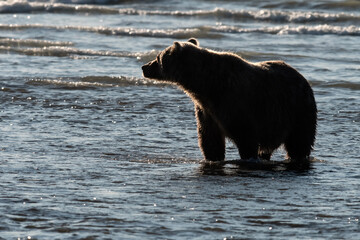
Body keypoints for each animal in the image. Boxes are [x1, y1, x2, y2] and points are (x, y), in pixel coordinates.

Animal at [142, 38, 316, 163]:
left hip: (296, 111)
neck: (207, 86)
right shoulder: (206, 111)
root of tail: (303, 79)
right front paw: (213, 158)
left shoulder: (234, 103)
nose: (144, 67)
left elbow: (245, 136)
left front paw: (247, 156)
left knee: (299, 142)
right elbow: (210, 139)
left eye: (158, 57)